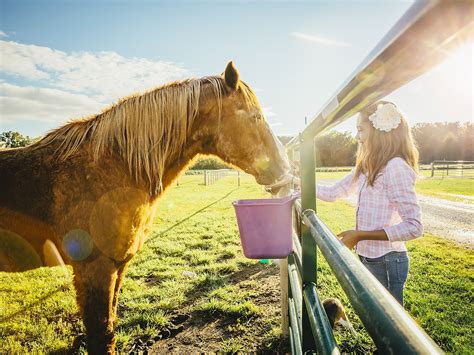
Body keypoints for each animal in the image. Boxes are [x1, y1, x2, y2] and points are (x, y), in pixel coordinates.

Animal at [0, 62, 290, 354]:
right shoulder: (94, 269)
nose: (284, 167)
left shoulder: (117, 265)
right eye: (255, 117)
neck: (111, 169)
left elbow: (110, 324)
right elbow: (101, 334)